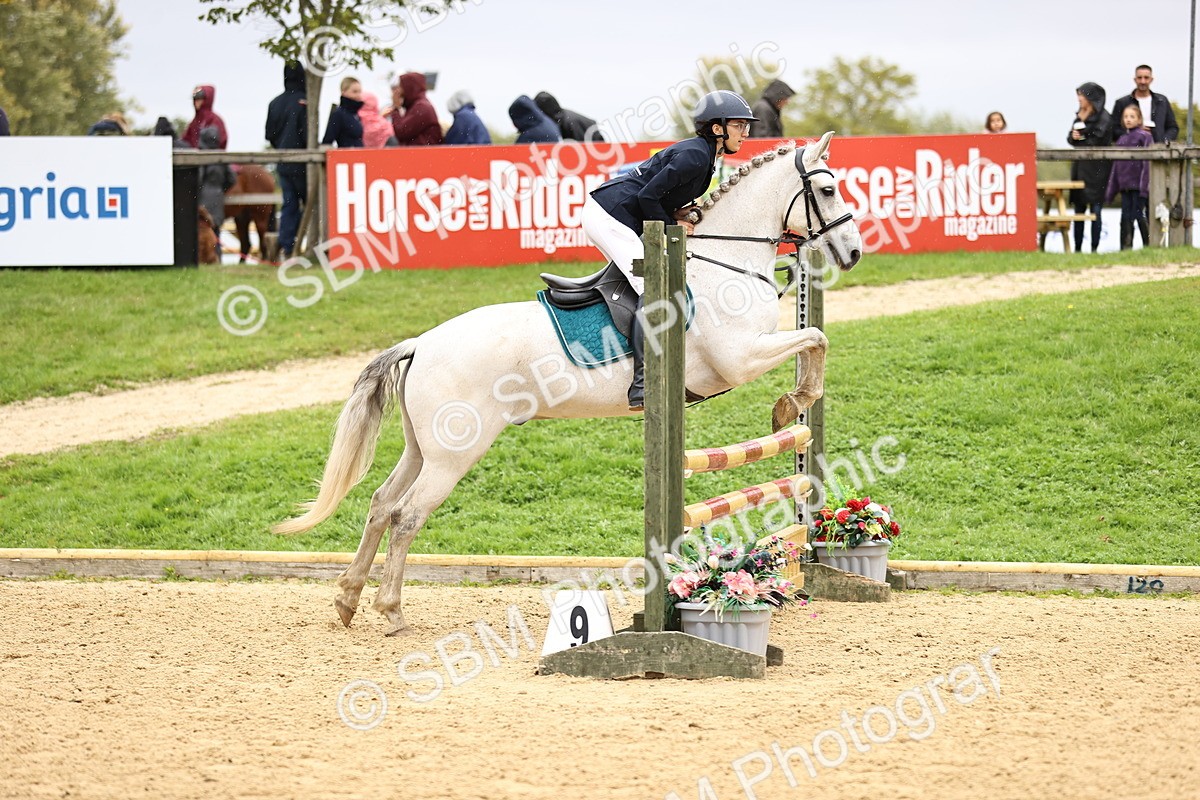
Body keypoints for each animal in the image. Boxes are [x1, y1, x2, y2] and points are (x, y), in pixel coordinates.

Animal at [275, 133, 863, 636]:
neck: (728, 264)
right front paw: (792, 404)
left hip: (424, 447)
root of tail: (421, 343)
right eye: (828, 189)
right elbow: (816, 338)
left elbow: (815, 338)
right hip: (454, 454)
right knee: (405, 516)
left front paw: (794, 404)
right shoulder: (739, 359)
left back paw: (348, 599)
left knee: (379, 504)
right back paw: (391, 612)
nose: (854, 252)